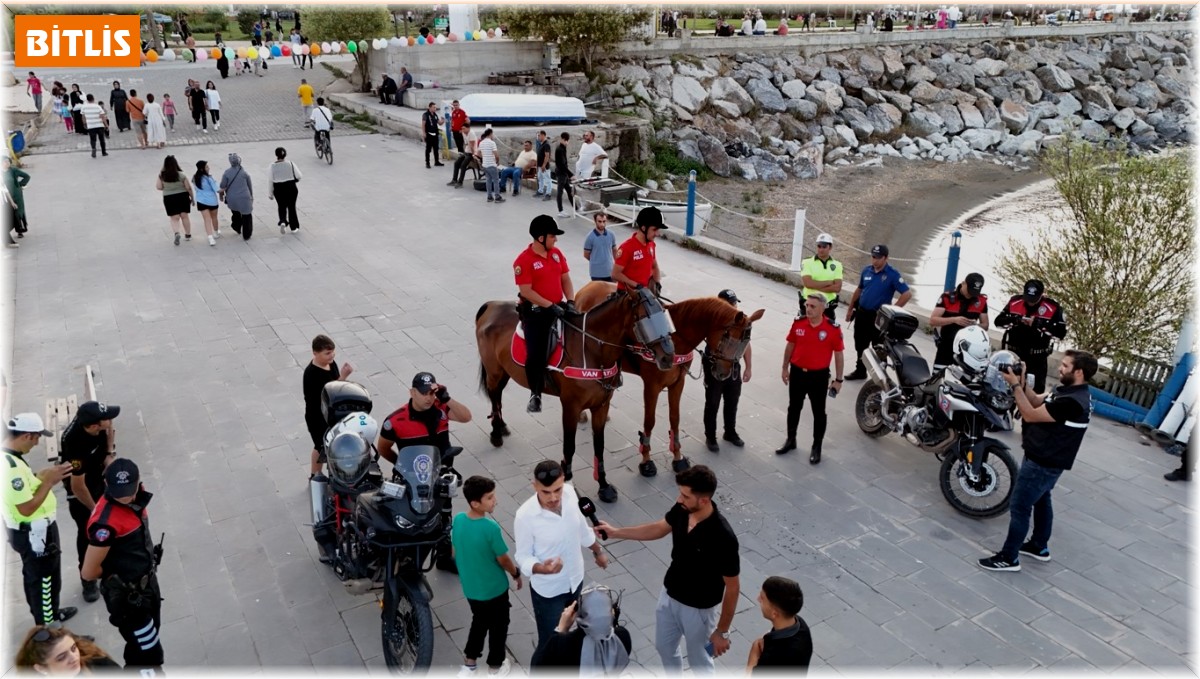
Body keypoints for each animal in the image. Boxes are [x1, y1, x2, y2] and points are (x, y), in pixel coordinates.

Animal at [475, 289, 676, 506]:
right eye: (645, 318)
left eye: (664, 315)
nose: (668, 356)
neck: (592, 349)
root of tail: (491, 305)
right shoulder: (571, 407)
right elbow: (569, 447)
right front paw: (567, 484)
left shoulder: (601, 405)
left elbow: (599, 446)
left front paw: (604, 486)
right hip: (494, 371)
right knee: (494, 396)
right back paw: (496, 433)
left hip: (504, 371)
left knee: (498, 397)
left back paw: (502, 427)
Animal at [576, 284, 763, 482]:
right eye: (728, 338)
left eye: (744, 344)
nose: (723, 373)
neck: (675, 337)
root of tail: (589, 287)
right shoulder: (651, 386)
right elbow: (649, 422)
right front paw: (646, 460)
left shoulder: (678, 383)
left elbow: (675, 418)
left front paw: (677, 456)